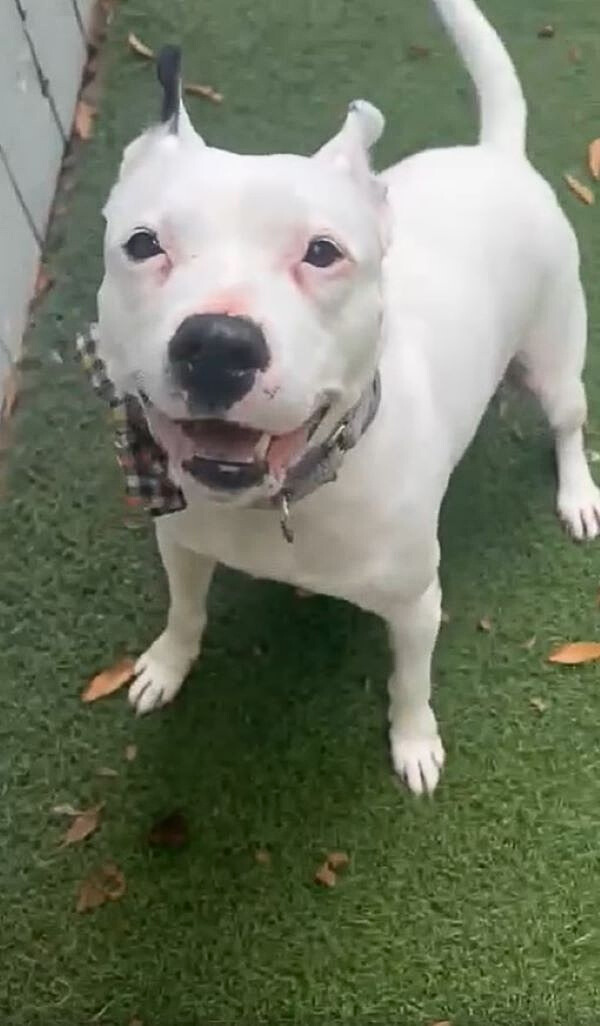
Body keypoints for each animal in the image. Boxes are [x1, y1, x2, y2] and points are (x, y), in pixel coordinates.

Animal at [95, 0, 594, 792]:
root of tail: (498, 154)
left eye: (323, 253)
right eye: (143, 245)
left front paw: (415, 743)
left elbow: (410, 682)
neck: (285, 500)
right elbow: (185, 610)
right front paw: (166, 665)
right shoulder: (180, 539)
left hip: (555, 359)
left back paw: (577, 494)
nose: (217, 345)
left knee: (570, 423)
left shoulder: (417, 604)